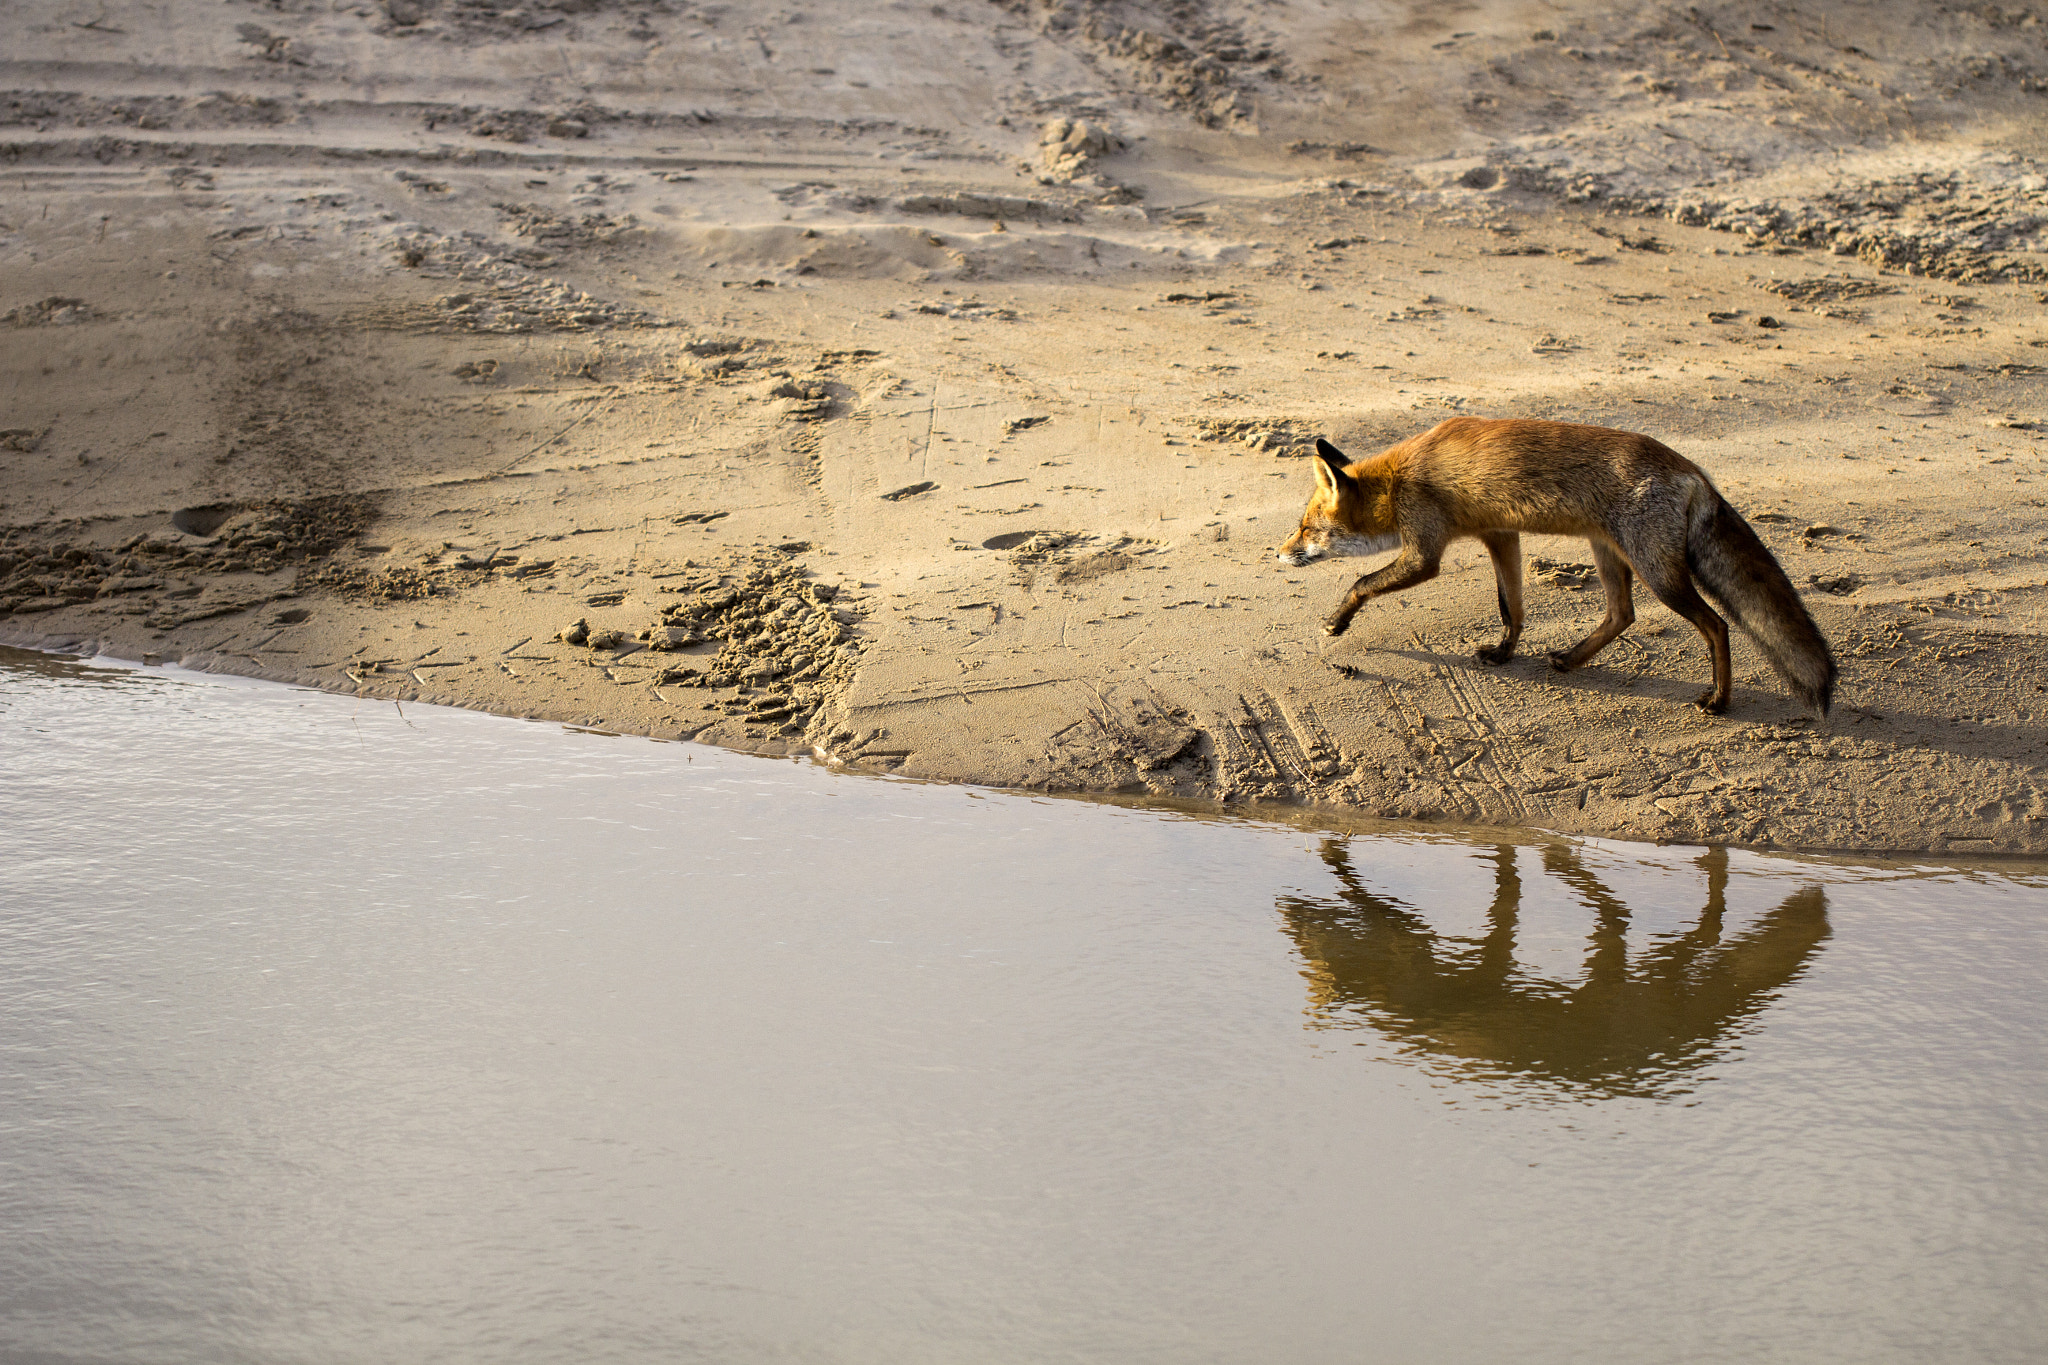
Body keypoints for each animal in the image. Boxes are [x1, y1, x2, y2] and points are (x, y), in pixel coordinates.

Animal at [1277, 417, 1843, 716]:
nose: (1278, 553)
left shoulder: (1424, 551)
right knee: (1621, 615)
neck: (1399, 479)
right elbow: (1512, 607)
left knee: (1717, 624)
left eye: (1305, 529)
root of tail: (1695, 472)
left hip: (1659, 574)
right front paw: (1504, 653)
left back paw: (1720, 700)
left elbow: (1361, 580)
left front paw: (1337, 622)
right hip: (1609, 554)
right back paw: (1570, 660)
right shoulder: (1500, 533)